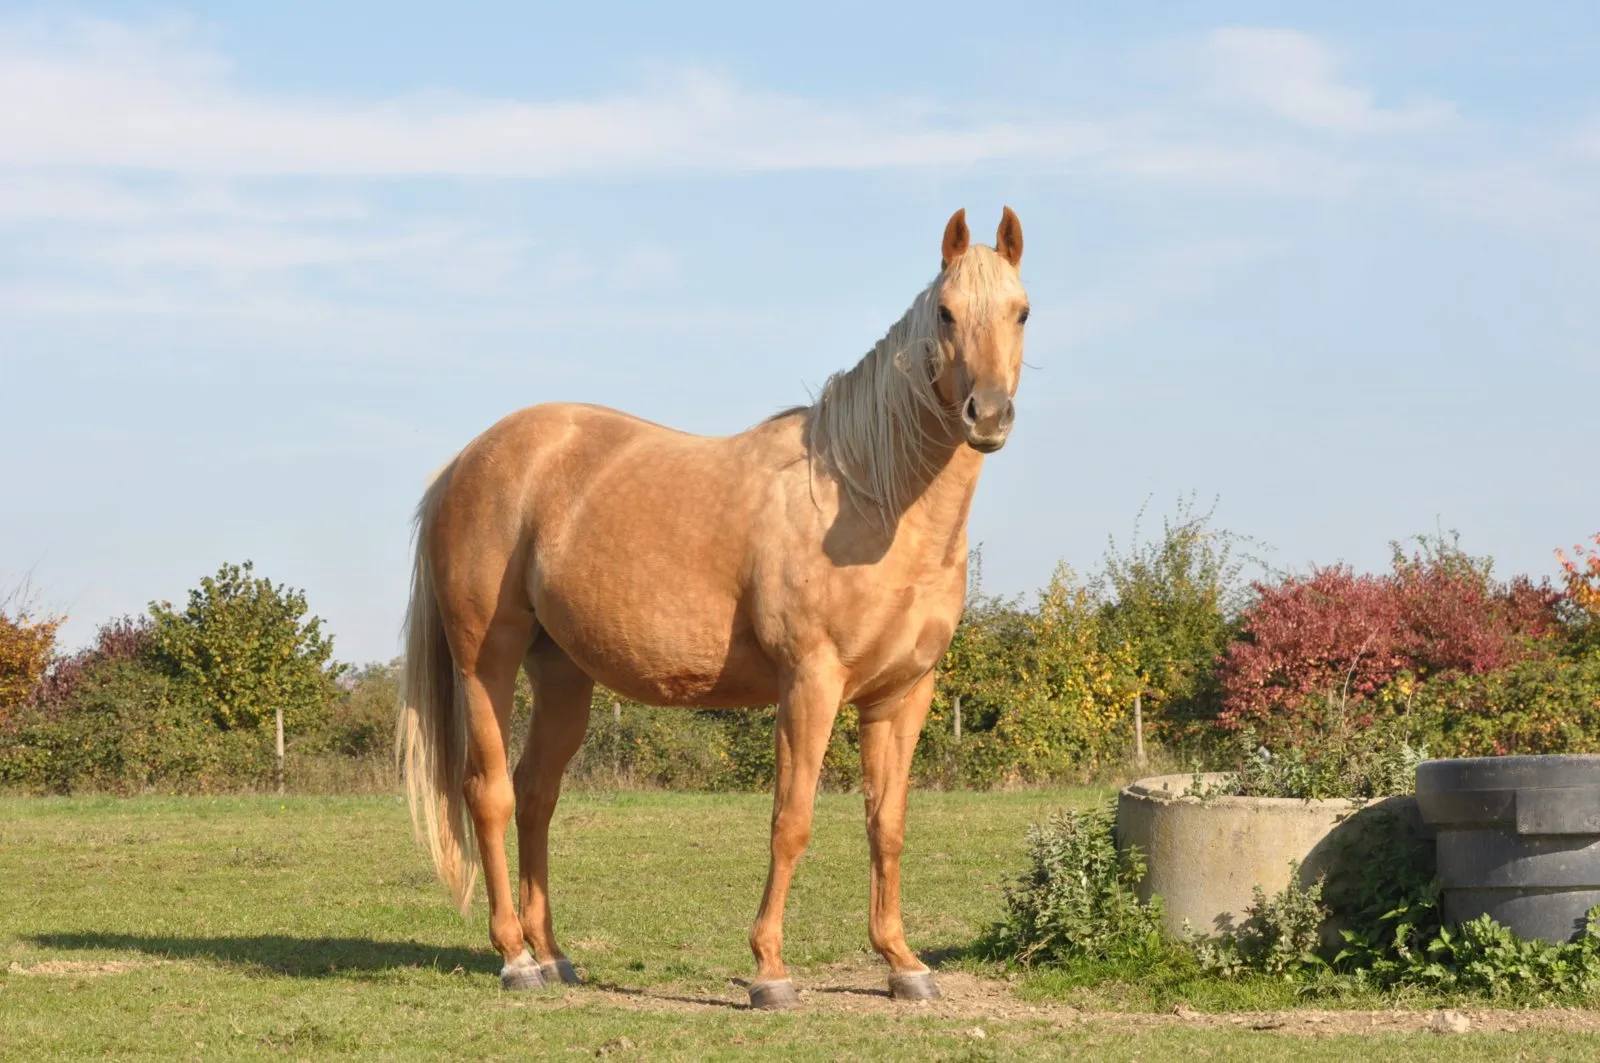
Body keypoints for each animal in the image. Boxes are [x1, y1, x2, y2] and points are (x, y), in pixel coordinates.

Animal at [396, 207, 1028, 1008]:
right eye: (946, 312)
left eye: (1022, 310)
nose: (990, 415)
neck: (868, 500)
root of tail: (464, 463)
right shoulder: (810, 684)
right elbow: (791, 820)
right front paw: (770, 972)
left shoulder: (901, 695)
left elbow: (886, 824)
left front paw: (903, 964)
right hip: (488, 662)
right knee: (491, 794)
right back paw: (515, 959)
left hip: (563, 675)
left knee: (537, 794)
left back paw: (554, 954)